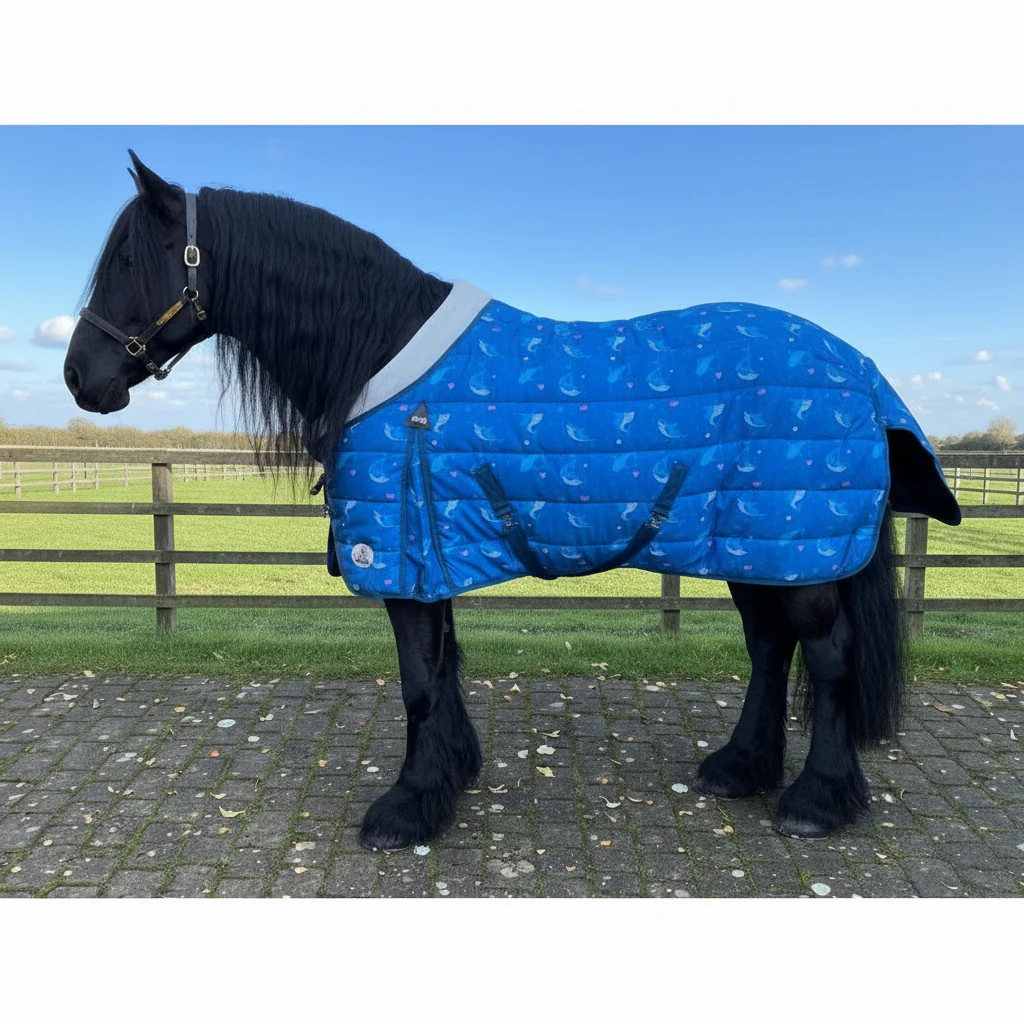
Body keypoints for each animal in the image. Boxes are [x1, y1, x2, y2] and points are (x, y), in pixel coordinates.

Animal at [63, 152, 961, 850]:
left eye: (130, 263)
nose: (80, 376)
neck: (380, 351)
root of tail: (861, 371)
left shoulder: (405, 559)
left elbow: (419, 681)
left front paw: (406, 809)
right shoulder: (430, 557)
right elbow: (442, 669)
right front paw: (449, 776)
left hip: (800, 552)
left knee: (829, 657)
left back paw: (817, 801)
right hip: (754, 547)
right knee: (771, 648)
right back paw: (740, 768)